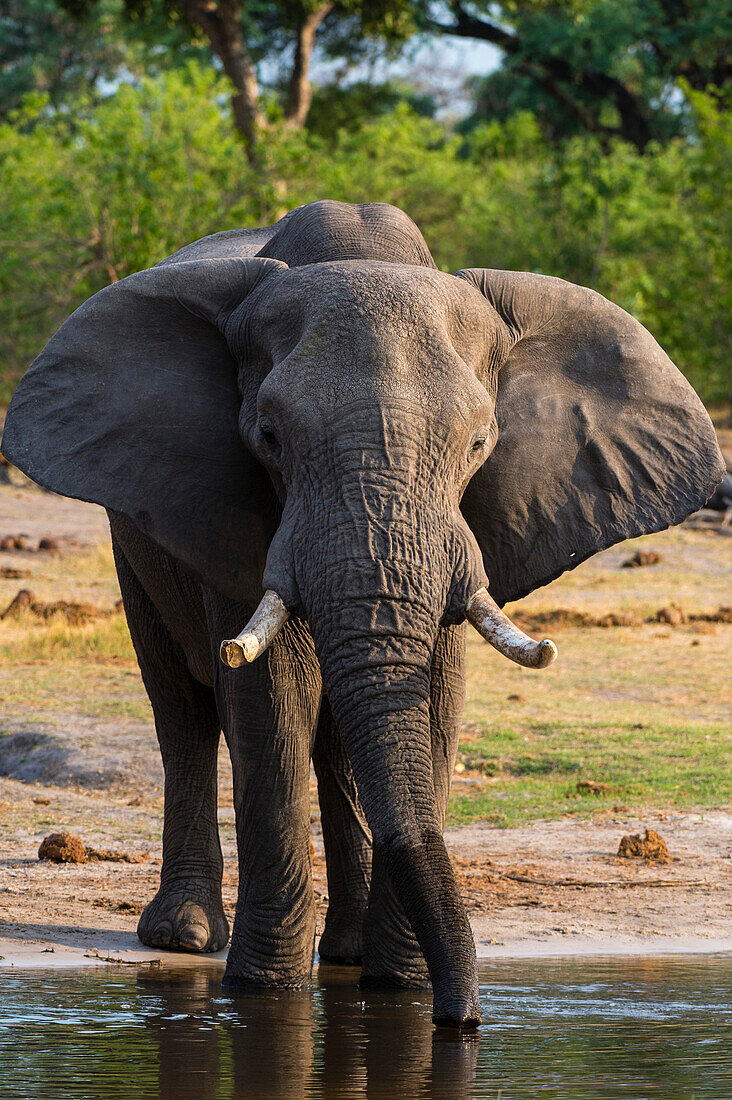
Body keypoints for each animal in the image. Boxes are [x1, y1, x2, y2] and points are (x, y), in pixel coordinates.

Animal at [2, 200, 722, 1029]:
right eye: (269, 437)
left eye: (480, 443)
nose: (464, 1022)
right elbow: (268, 700)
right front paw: (265, 991)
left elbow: (435, 695)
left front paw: (397, 988)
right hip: (134, 539)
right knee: (182, 709)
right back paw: (184, 937)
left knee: (335, 741)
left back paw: (345, 954)